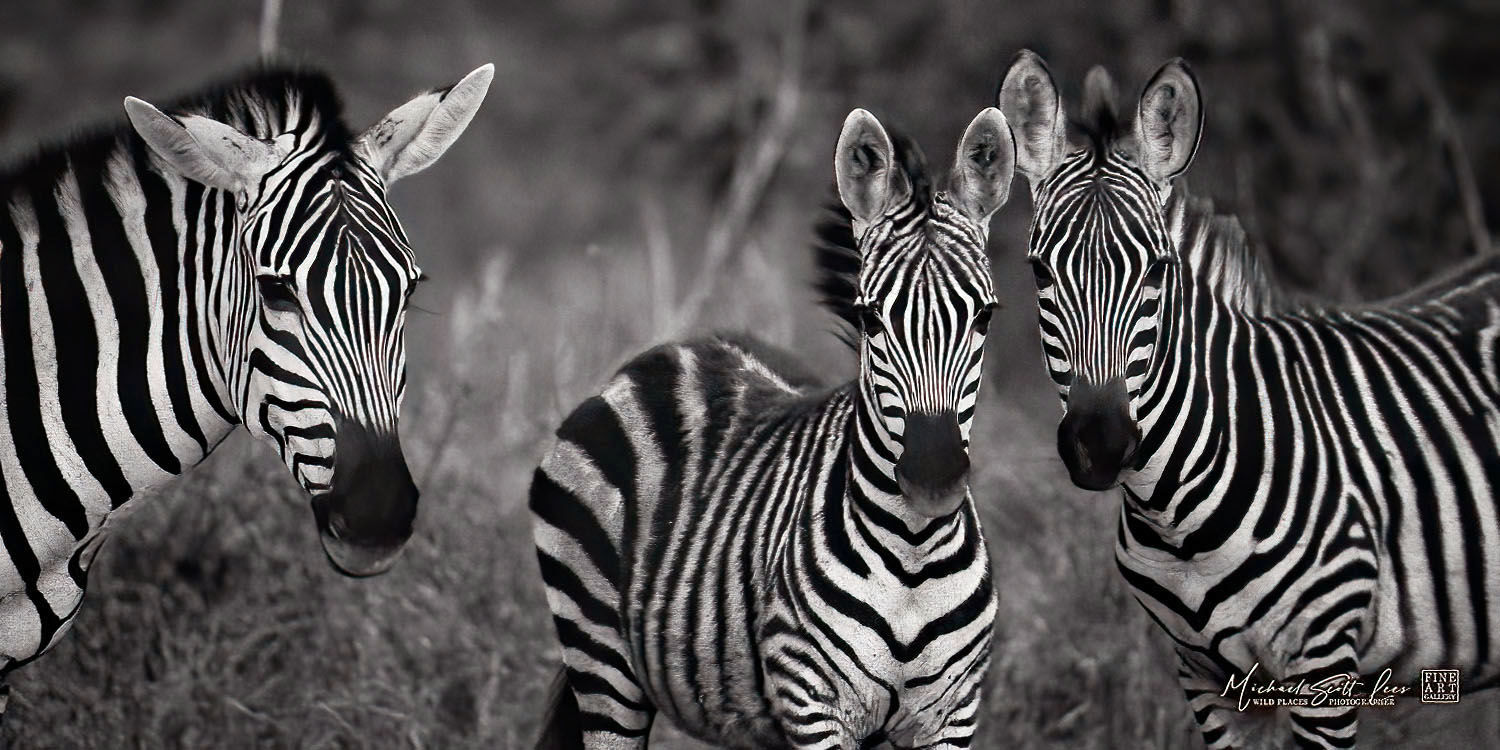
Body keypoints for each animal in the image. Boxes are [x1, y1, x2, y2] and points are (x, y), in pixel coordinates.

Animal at [529, 106, 1015, 748]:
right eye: (868, 317)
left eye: (985, 315)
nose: (933, 478)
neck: (913, 556)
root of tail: (674, 351)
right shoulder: (813, 704)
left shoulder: (953, 715)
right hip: (602, 659)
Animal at [999, 48, 1500, 748]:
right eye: (1039, 270)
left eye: (1158, 270)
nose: (1099, 445)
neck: (1174, 520)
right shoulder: (1204, 677)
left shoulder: (1324, 664)